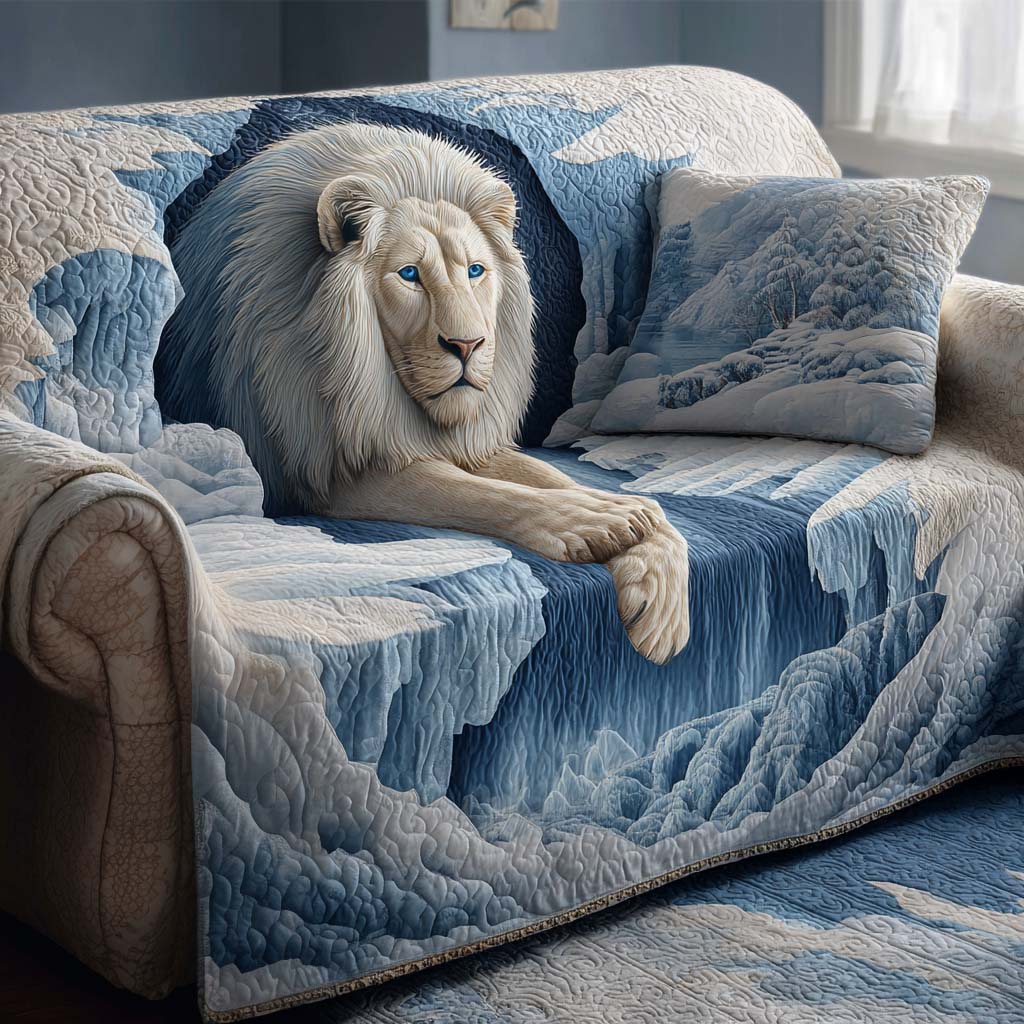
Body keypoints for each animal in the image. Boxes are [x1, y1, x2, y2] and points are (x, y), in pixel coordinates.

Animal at [160, 122, 689, 663]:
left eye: (475, 270)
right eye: (409, 274)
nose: (468, 345)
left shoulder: (450, 441)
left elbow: (544, 476)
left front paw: (650, 559)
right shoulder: (321, 470)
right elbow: (469, 491)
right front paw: (599, 522)